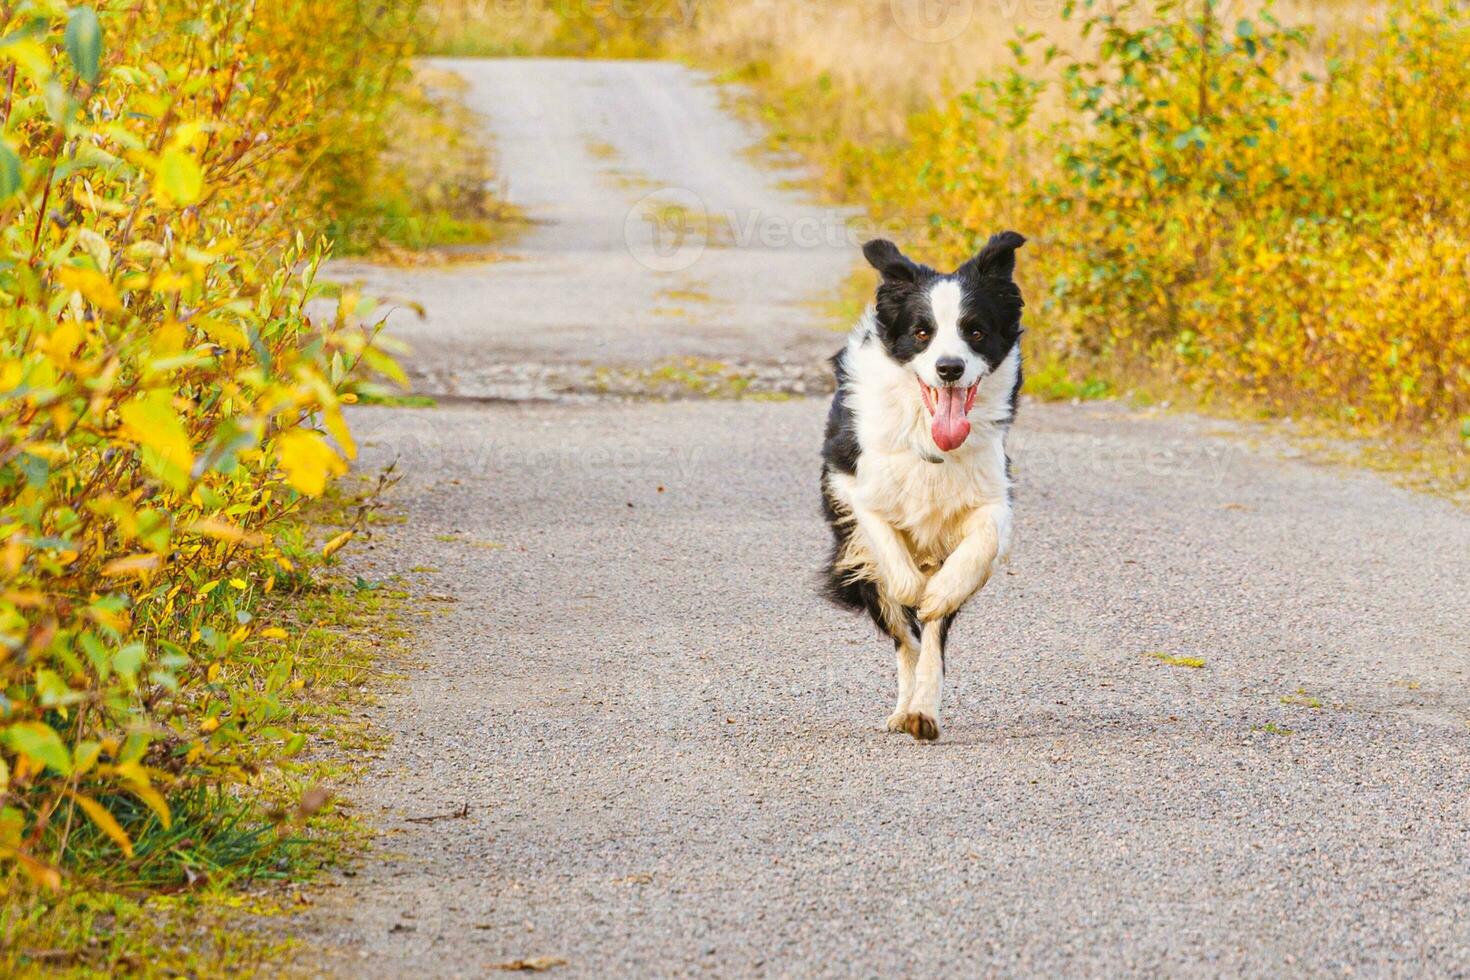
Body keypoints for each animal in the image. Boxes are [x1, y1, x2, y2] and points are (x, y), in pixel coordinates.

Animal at [823, 233, 1029, 743]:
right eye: (922, 333)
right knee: (904, 637)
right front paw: (915, 588)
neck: (927, 434)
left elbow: (980, 544)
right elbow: (891, 560)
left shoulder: (992, 491)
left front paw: (938, 591)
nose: (949, 368)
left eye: (975, 331)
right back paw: (906, 707)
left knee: (931, 638)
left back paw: (923, 711)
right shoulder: (851, 484)